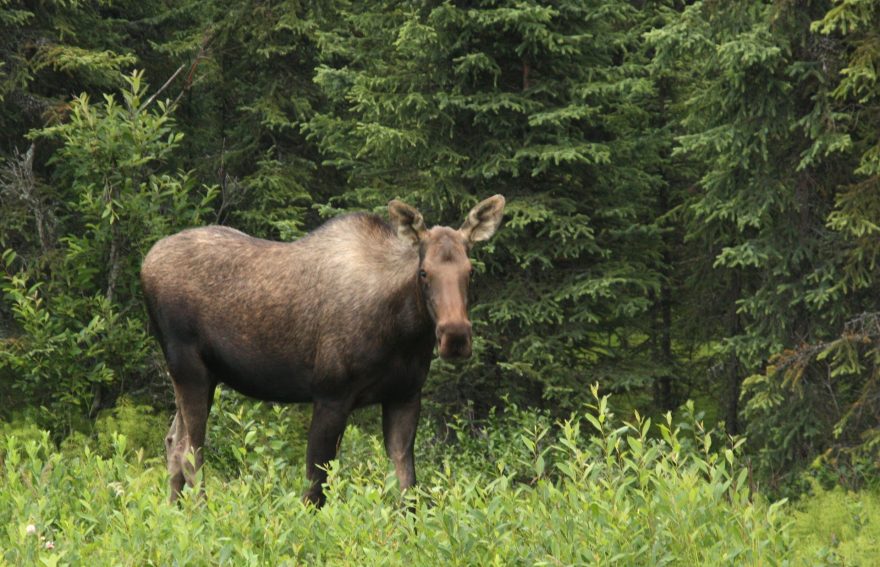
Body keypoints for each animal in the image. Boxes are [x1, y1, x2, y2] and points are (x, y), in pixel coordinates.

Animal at [141, 195, 506, 506]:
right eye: (424, 272)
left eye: (470, 270)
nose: (455, 336)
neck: (403, 332)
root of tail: (144, 266)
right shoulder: (331, 395)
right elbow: (315, 489)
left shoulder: (404, 396)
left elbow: (408, 489)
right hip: (188, 367)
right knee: (190, 451)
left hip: (207, 376)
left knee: (172, 442)